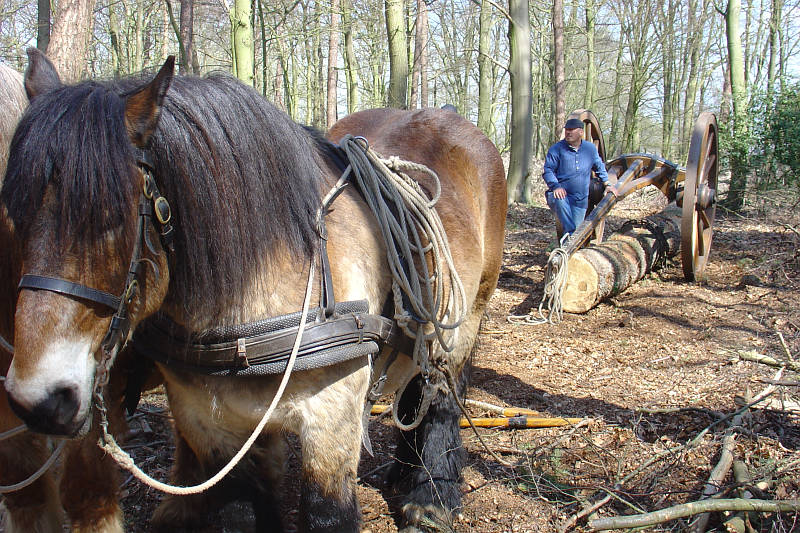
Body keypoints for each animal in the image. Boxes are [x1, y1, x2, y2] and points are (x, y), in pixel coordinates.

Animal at [3, 47, 506, 528]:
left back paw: (431, 497)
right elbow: (240, 511)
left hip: (467, 318)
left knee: (441, 395)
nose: (38, 400)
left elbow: (327, 513)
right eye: (14, 215)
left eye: (110, 220)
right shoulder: (211, 423)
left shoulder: (332, 420)